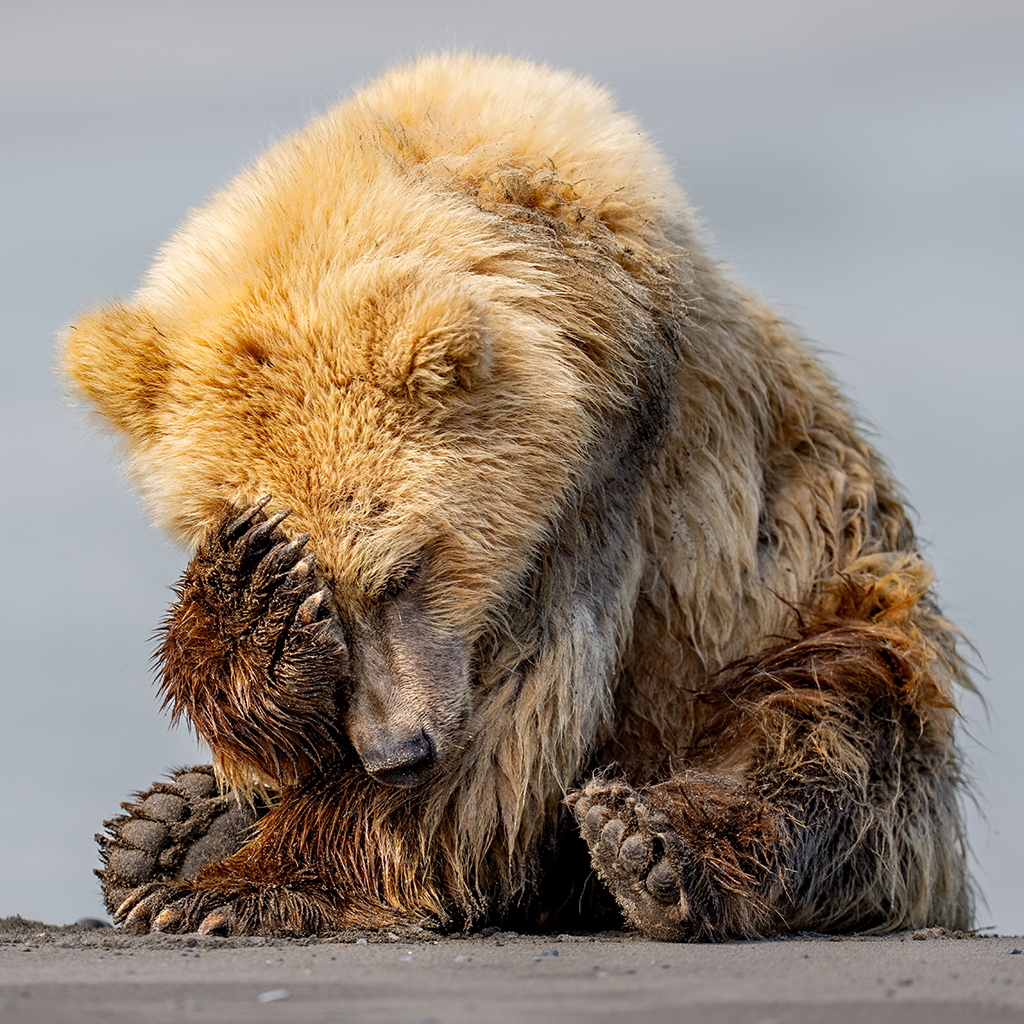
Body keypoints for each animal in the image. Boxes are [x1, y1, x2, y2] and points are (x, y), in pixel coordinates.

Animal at [59, 54, 970, 937]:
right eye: (329, 596)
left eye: (404, 569)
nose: (397, 751)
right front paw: (256, 601)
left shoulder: (599, 489)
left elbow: (514, 718)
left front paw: (232, 891)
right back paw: (166, 824)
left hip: (820, 604)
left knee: (824, 738)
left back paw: (650, 850)